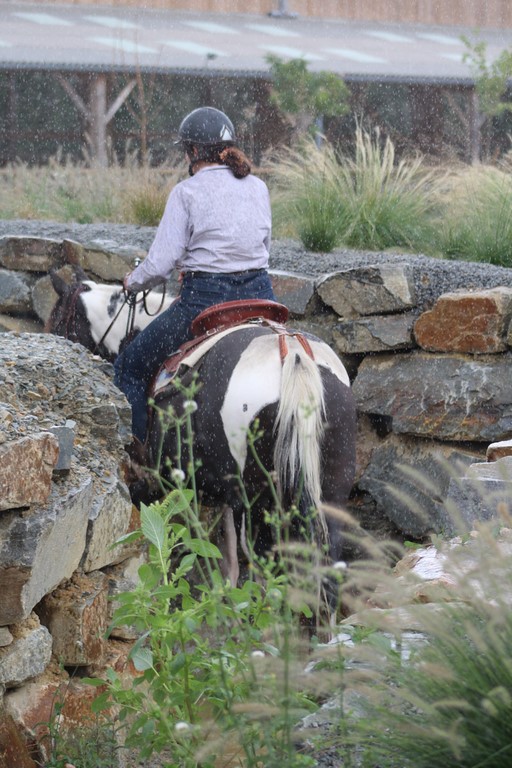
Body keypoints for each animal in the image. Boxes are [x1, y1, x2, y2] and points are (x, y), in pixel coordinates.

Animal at [47, 268, 357, 609]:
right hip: (328, 490)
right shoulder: (226, 493)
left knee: (267, 564)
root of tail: (294, 353)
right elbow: (229, 557)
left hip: (260, 497)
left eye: (57, 318)